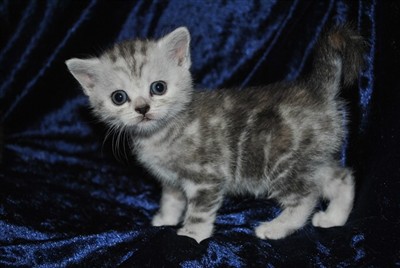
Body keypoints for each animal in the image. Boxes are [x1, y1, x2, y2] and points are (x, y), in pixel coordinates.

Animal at [65, 25, 366, 243]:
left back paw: (276, 228)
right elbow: (172, 200)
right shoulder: (172, 180)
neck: (163, 134)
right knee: (341, 176)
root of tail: (316, 91)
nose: (142, 108)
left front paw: (190, 235)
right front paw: (164, 219)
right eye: (119, 97)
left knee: (306, 197)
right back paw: (335, 218)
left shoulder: (206, 178)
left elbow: (198, 212)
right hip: (311, 159)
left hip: (281, 165)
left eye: (158, 87)